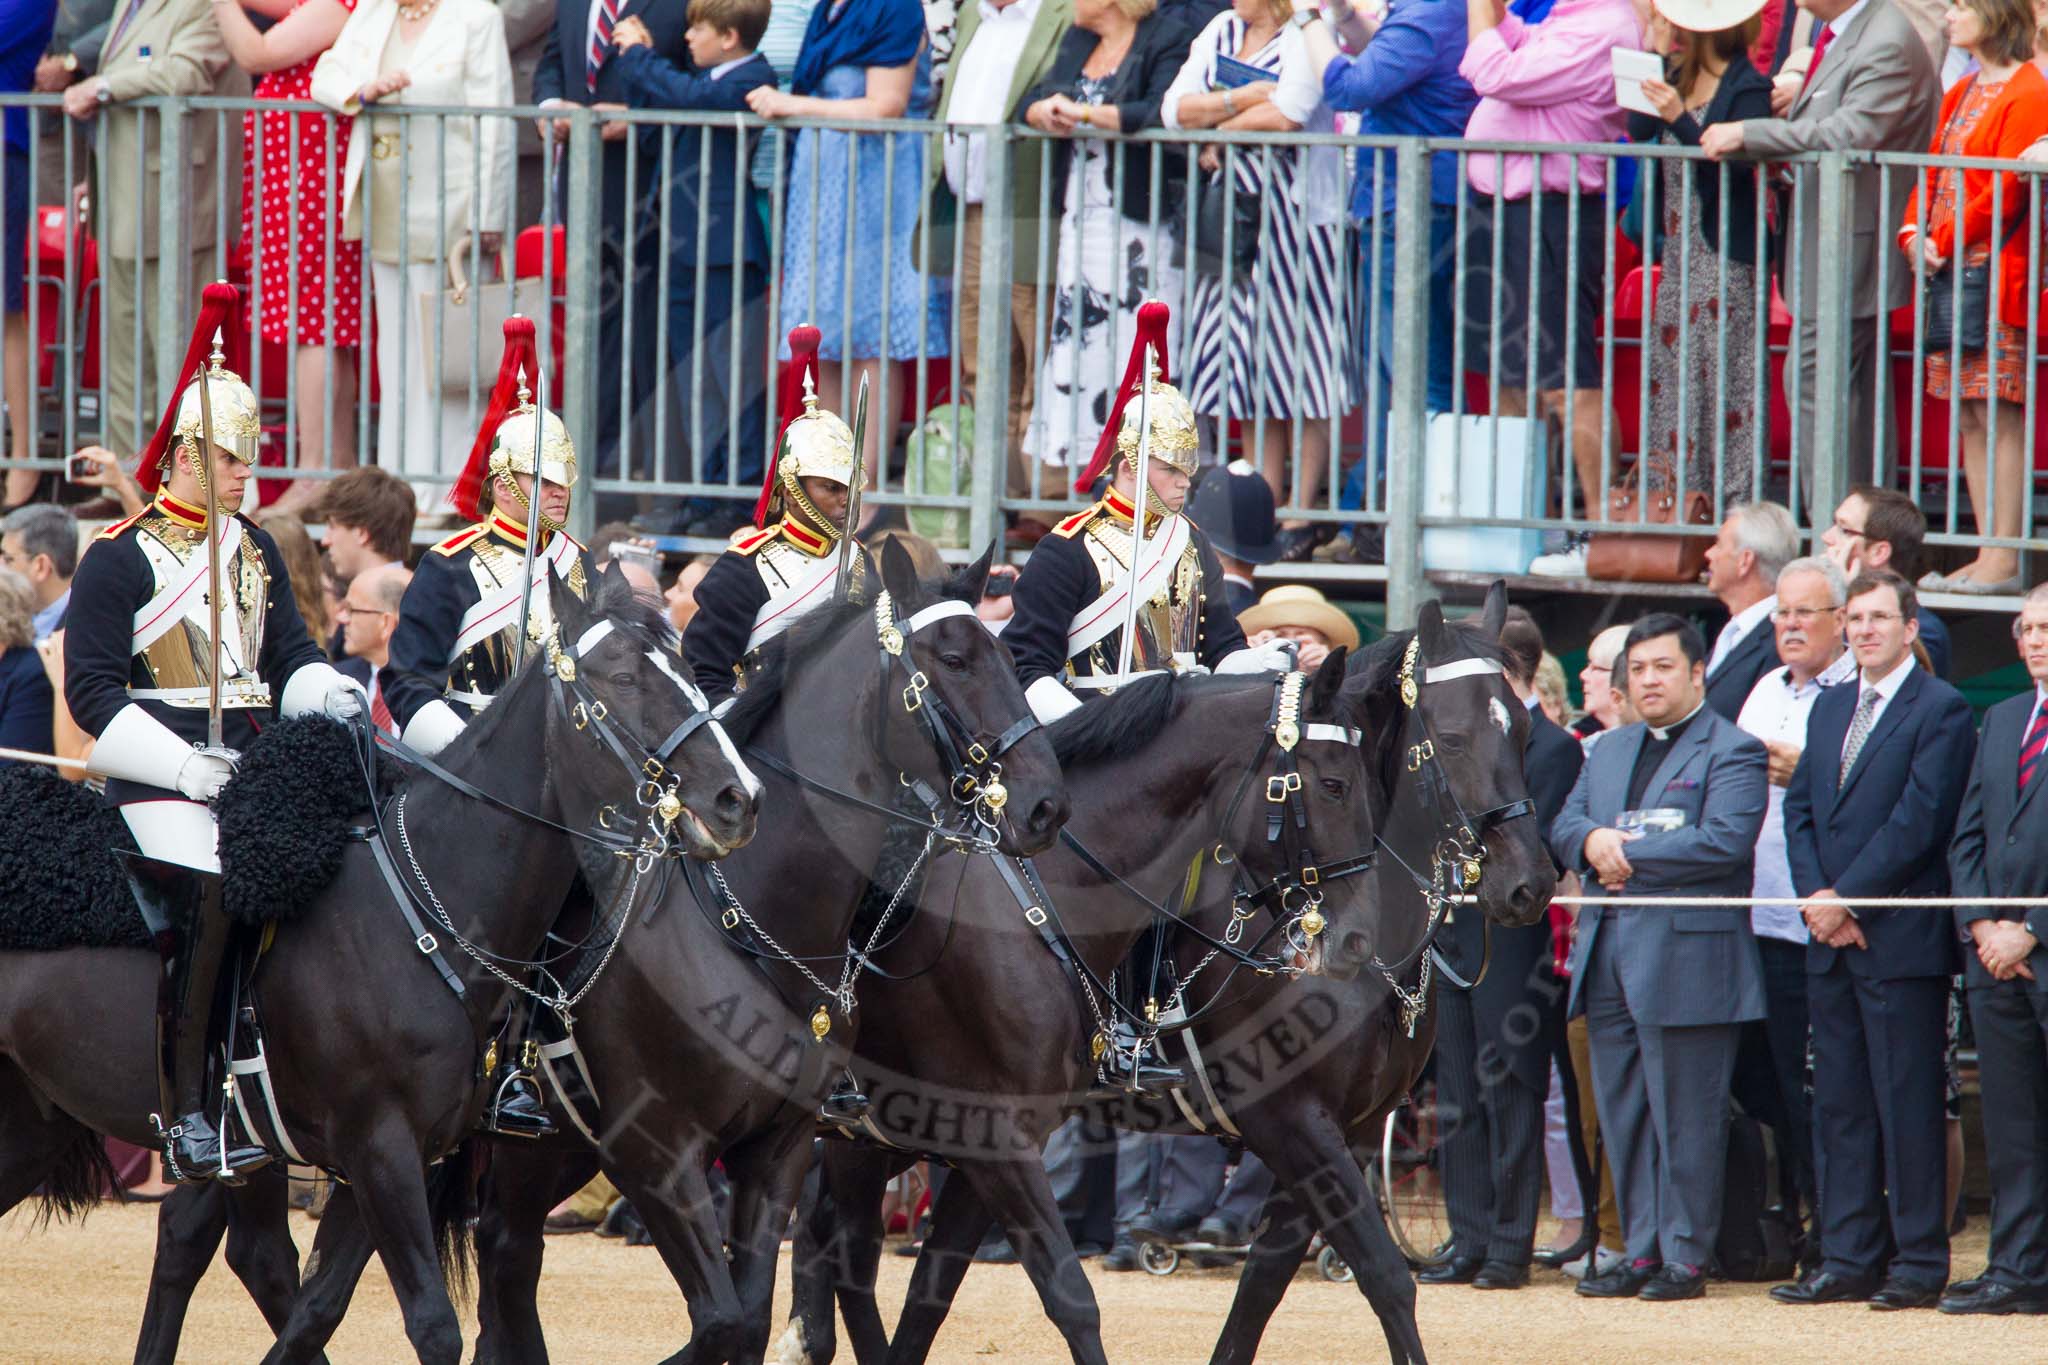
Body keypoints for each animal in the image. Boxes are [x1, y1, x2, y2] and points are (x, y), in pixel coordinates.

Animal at [0, 573, 761, 1358]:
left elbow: (318, 1308)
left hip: (34, 1121)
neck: (422, 912)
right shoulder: (381, 1149)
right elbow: (432, 1325)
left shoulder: (399, 1156)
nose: (737, 798)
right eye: (623, 678)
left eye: (689, 672)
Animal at [782, 589, 1548, 1365]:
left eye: (1522, 735)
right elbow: (1385, 1276)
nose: (1531, 885)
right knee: (839, 1247)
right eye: (1451, 739)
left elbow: (1263, 1285)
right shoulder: (1290, 1118)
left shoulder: (1350, 1131)